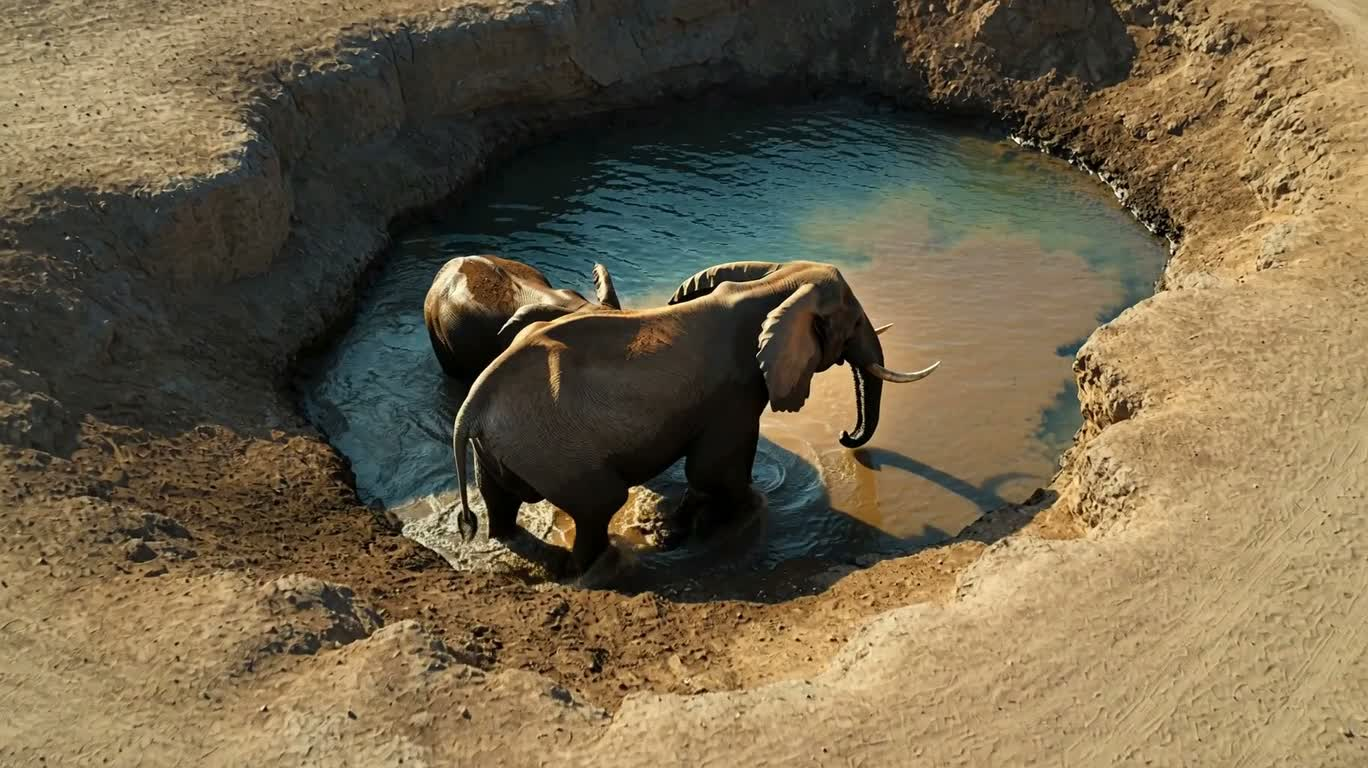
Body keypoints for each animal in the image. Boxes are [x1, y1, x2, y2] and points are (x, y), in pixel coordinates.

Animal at [448, 260, 940, 574]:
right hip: (553, 448)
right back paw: (599, 567)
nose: (844, 435)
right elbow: (716, 469)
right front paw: (746, 510)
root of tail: (472, 404)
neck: (773, 286)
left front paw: (676, 527)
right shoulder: (733, 392)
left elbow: (708, 474)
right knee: (598, 505)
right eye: (854, 323)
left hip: (503, 447)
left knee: (500, 500)